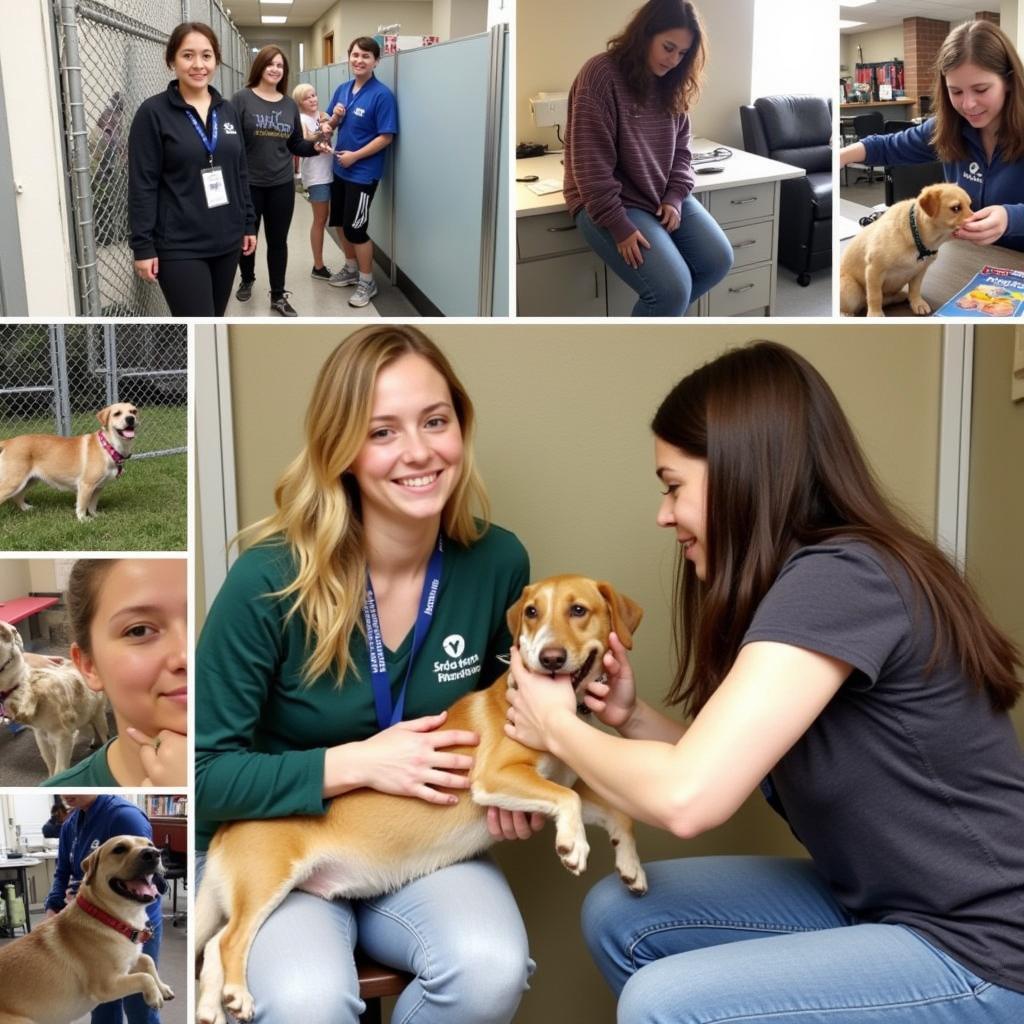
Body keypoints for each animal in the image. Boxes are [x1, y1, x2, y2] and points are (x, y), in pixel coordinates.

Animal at [0, 403, 139, 524]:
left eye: (134, 411)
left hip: (29, 480)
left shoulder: (99, 487)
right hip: (13, 482)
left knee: (17, 496)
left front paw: (95, 516)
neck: (108, 446)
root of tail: (9, 442)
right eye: (117, 413)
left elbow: (92, 505)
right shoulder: (86, 485)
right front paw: (83, 520)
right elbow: (82, 506)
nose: (130, 419)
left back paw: (27, 508)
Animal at [197, 577, 647, 1024]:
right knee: (229, 941)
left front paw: (631, 868)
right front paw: (573, 845)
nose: (549, 657)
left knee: (214, 947)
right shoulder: (497, 775)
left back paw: (211, 1007)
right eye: (533, 612)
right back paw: (237, 994)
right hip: (266, 884)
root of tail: (225, 829)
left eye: (578, 610)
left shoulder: (566, 781)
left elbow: (617, 812)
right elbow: (568, 799)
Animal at [839, 181, 974, 315]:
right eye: (956, 208)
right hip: (851, 289)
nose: (976, 218)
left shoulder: (919, 271)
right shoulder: (874, 270)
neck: (917, 237)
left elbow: (915, 289)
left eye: (970, 206)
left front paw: (917, 303)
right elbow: (875, 296)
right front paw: (875, 314)